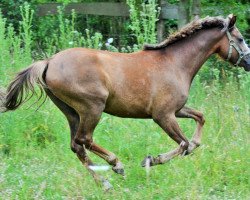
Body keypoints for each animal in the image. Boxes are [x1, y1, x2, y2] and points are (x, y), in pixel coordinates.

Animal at [0, 14, 250, 189]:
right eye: (240, 39)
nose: (248, 62)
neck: (175, 63)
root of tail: (48, 62)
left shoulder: (177, 110)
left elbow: (199, 120)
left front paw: (184, 148)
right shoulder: (163, 115)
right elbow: (183, 143)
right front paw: (151, 160)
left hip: (71, 112)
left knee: (76, 146)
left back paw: (105, 184)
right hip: (92, 108)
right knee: (84, 139)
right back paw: (116, 165)